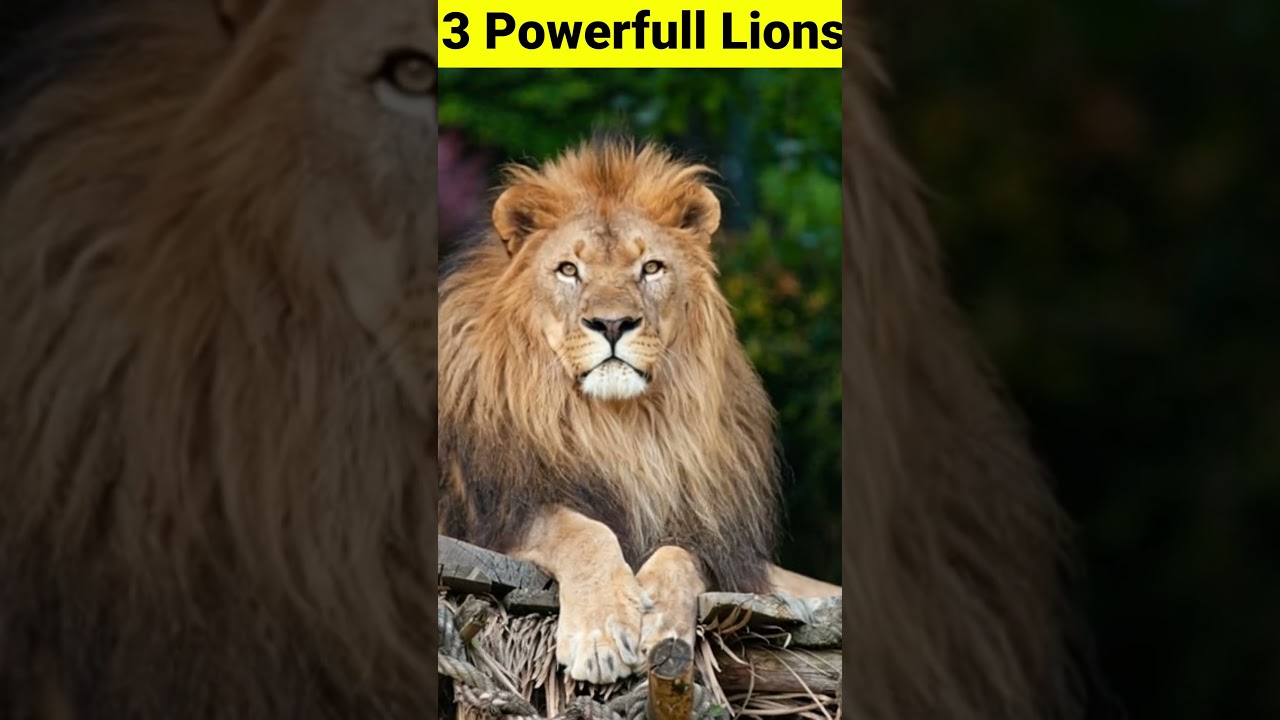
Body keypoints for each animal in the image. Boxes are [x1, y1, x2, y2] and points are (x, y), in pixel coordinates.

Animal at [438, 137, 839, 687]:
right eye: (569, 269)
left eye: (651, 268)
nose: (612, 323)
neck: (620, 427)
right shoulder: (498, 517)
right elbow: (581, 530)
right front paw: (601, 635)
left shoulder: (713, 537)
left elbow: (679, 556)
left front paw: (660, 625)